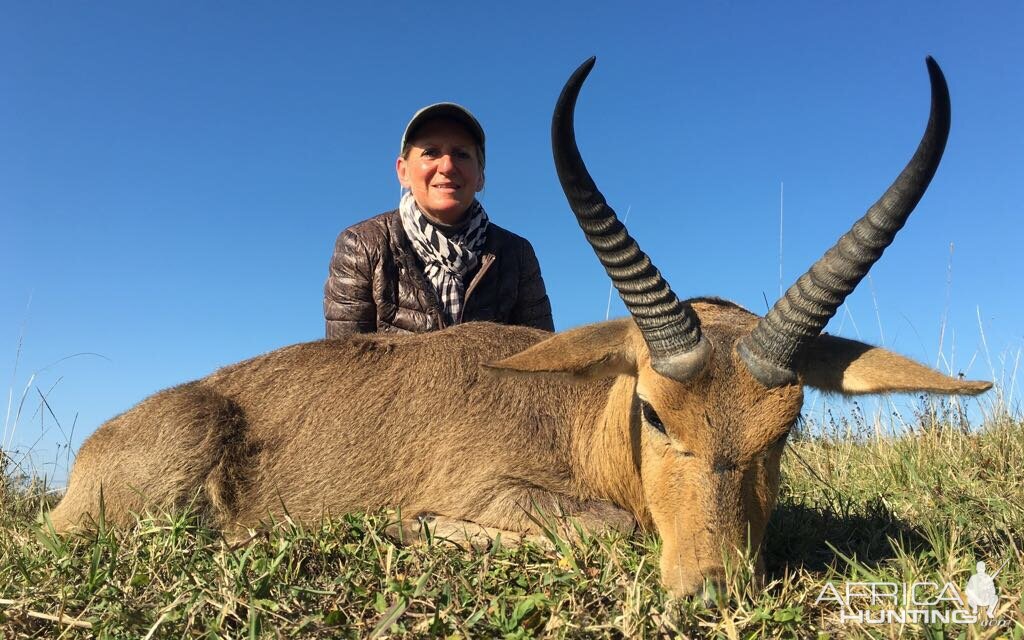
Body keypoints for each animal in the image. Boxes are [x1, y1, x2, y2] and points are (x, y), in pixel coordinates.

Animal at [49, 54, 991, 593]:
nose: (711, 588)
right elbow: (605, 526)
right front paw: (416, 528)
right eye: (653, 413)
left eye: (786, 427)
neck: (580, 418)